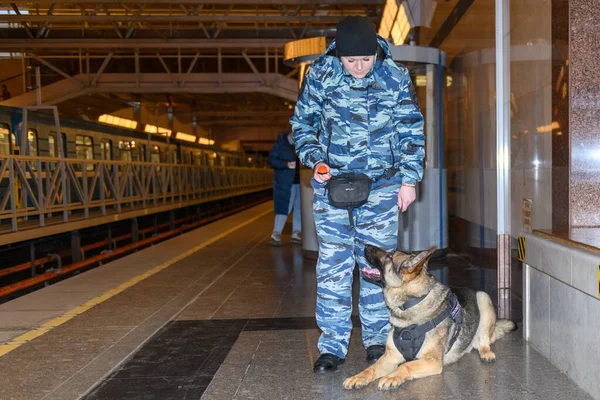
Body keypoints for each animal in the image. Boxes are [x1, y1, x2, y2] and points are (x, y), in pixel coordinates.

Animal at [344, 244, 516, 390]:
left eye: (390, 256)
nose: (364, 245)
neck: (409, 304)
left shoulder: (432, 362)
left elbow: (405, 365)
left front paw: (392, 377)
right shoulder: (390, 357)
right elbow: (371, 368)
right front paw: (358, 377)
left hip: (483, 298)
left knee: (484, 341)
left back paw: (486, 352)